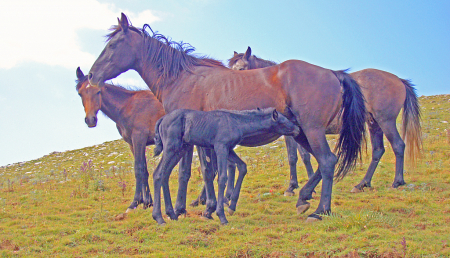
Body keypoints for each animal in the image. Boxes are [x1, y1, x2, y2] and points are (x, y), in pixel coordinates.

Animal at [75, 66, 165, 212]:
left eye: (98, 91)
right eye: (80, 93)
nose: (90, 120)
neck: (127, 107)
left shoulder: (139, 139)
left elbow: (138, 168)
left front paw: (135, 202)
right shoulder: (132, 144)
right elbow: (144, 169)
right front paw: (147, 202)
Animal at [87, 12, 366, 222]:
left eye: (112, 45)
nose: (91, 75)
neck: (181, 78)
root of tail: (333, 73)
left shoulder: (192, 140)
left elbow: (196, 172)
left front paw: (191, 208)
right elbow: (202, 171)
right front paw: (202, 207)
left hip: (312, 130)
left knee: (327, 161)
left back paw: (320, 211)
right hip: (301, 133)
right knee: (324, 161)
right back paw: (303, 198)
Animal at [229, 47, 422, 195]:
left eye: (241, 69)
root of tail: (398, 80)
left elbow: (297, 157)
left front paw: (298, 186)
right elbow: (301, 156)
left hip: (385, 121)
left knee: (398, 145)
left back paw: (397, 181)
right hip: (374, 124)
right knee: (378, 151)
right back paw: (362, 184)